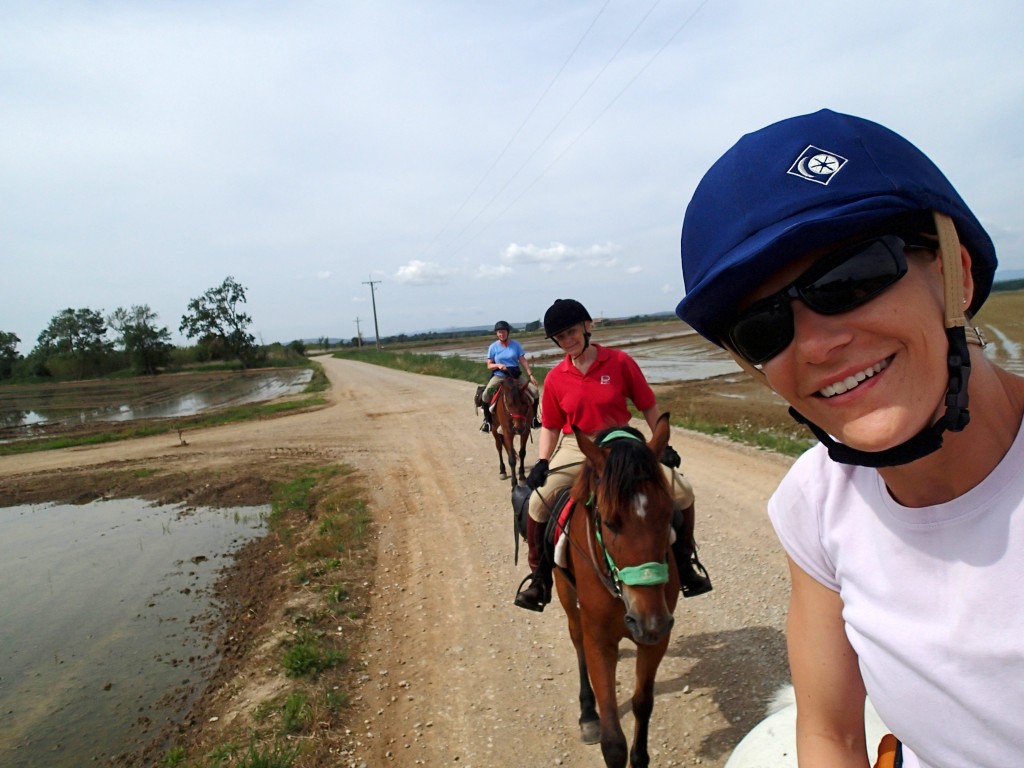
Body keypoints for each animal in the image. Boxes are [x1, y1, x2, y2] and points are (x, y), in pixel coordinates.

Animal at [552, 417, 679, 768]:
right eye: (609, 523)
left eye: (669, 514)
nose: (649, 621)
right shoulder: (599, 641)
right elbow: (612, 742)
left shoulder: (656, 640)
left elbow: (642, 703)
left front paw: (641, 756)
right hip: (565, 595)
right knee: (576, 639)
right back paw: (587, 714)